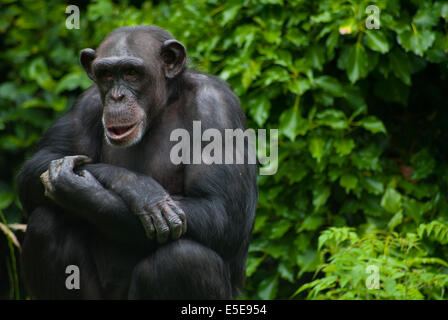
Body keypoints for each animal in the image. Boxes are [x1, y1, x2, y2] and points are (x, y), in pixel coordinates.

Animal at [17, 25, 258, 300]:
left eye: (131, 72)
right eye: (106, 74)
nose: (117, 96)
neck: (164, 104)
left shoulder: (216, 107)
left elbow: (221, 211)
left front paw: (84, 190)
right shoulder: (87, 103)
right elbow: (39, 165)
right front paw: (137, 187)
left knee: (186, 258)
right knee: (46, 222)